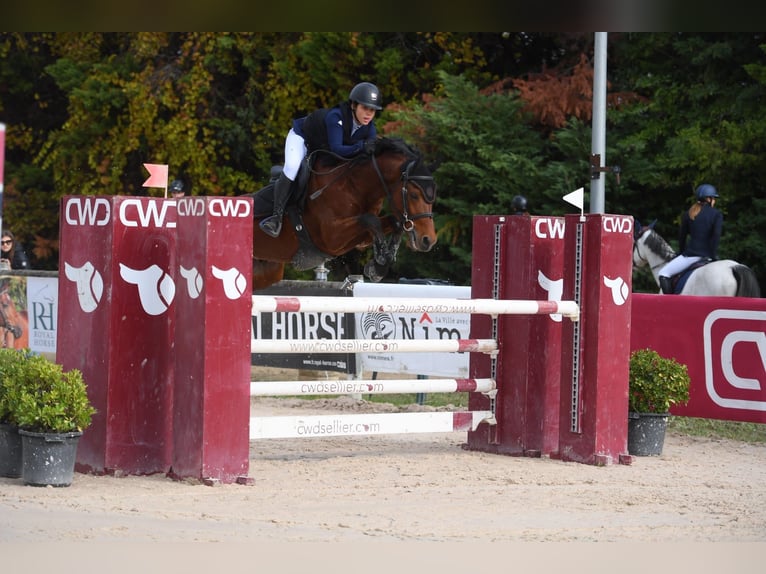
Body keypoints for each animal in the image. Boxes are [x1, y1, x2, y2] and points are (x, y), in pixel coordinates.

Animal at [248, 137, 438, 290]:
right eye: (413, 195)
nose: (428, 240)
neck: (355, 186)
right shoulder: (331, 237)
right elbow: (370, 220)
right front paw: (378, 264)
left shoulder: (359, 239)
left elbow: (392, 221)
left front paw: (380, 264)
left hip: (266, 271)